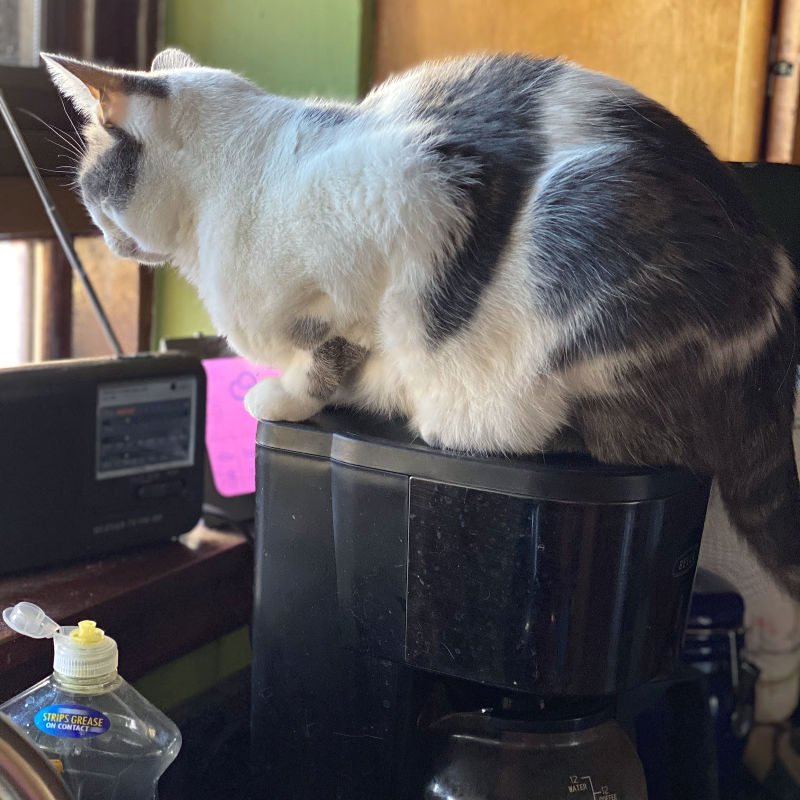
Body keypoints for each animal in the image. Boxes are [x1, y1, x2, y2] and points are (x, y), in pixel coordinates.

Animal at [43, 43, 800, 592]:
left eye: (89, 188)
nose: (105, 239)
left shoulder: (424, 196)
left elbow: (337, 344)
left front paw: (287, 398)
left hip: (584, 228)